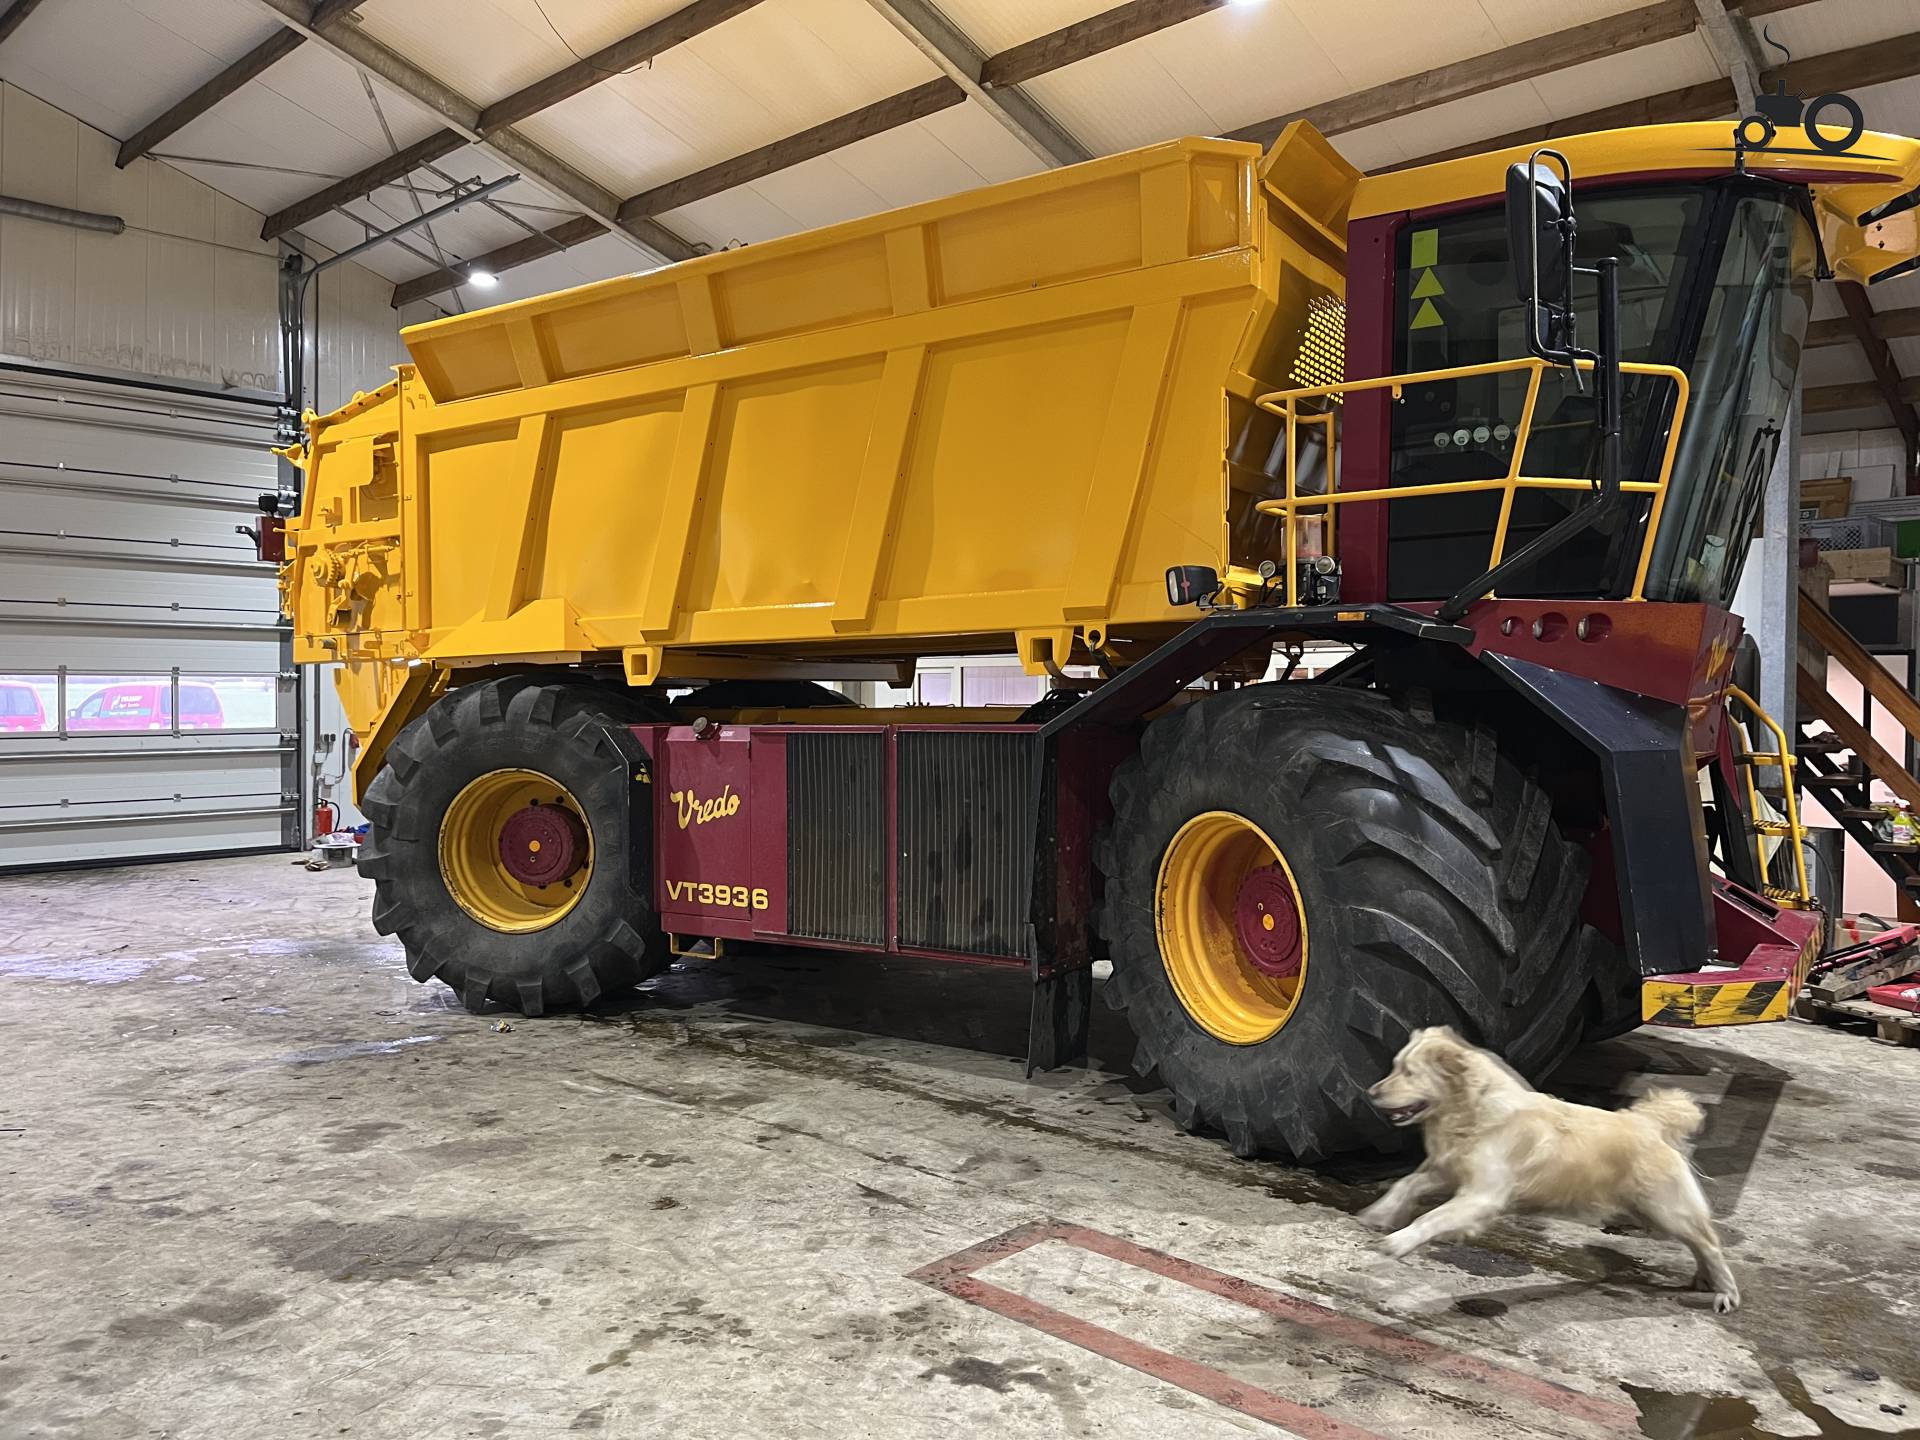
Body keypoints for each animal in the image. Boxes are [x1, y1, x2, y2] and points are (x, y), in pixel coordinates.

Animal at [1351, 1029, 1743, 1305]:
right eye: (1396, 1066)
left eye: (1409, 1072)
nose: (1370, 1093)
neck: (1472, 1110)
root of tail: (1650, 1124)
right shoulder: (1445, 1171)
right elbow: (1405, 1183)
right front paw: (1378, 1213)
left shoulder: (1481, 1196)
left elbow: (1430, 1217)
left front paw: (1399, 1241)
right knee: (1698, 1243)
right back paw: (1703, 1280)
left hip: (1667, 1209)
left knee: (1709, 1243)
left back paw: (1726, 1292)